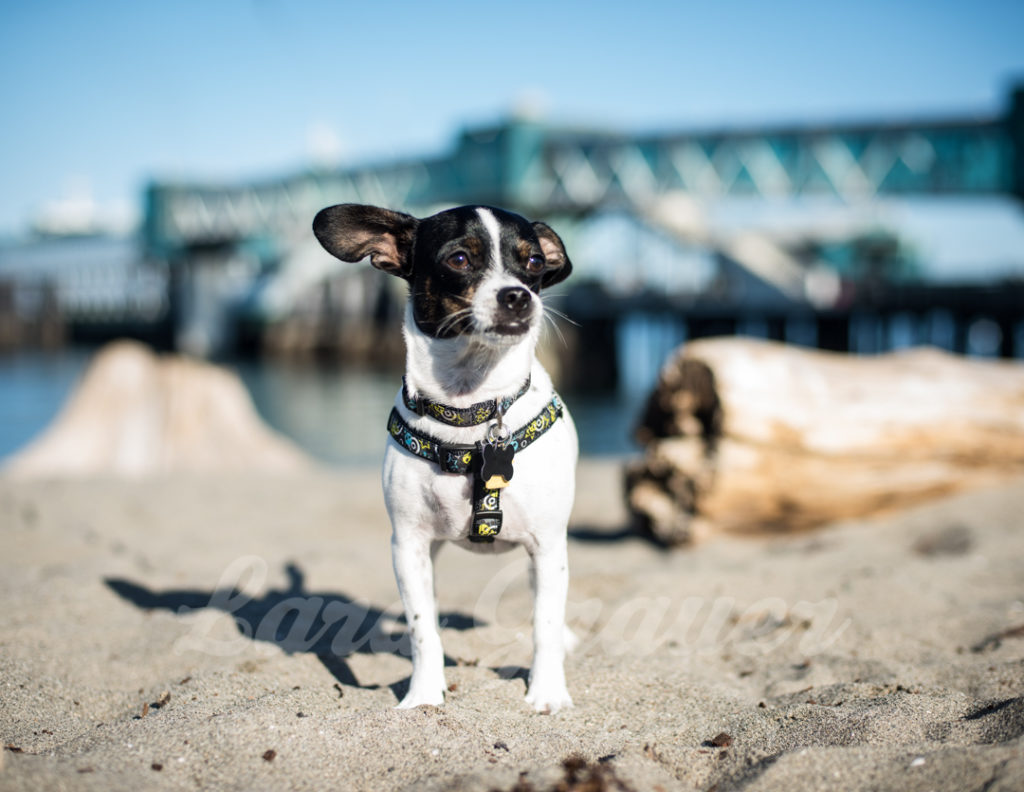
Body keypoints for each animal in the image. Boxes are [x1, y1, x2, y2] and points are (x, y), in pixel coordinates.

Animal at [313, 202, 577, 709]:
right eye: (459, 259)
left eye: (534, 261)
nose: (519, 296)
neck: (474, 412)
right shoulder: (409, 545)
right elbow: (424, 629)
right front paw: (423, 695)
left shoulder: (549, 544)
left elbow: (546, 623)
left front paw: (548, 691)